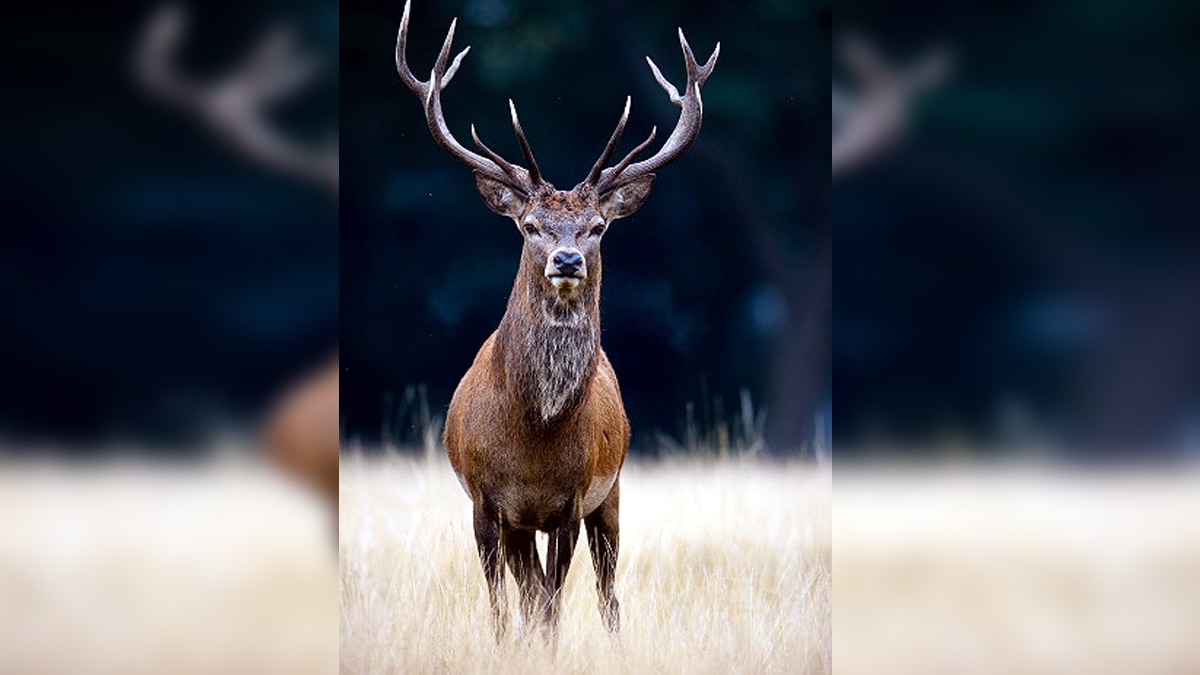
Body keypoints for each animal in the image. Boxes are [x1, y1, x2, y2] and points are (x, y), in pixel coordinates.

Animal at [394, 0, 717, 637]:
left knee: (606, 592)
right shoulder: (486, 503)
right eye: (529, 226)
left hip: (611, 494)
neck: (533, 439)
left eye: (597, 226)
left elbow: (552, 605)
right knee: (527, 591)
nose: (566, 259)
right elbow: (505, 606)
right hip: (526, 523)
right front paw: (504, 646)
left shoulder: (571, 500)